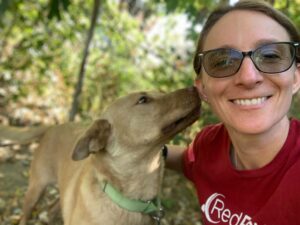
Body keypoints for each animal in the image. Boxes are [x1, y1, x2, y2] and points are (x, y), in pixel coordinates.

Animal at [1, 87, 202, 225]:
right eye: (143, 99)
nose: (194, 87)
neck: (130, 203)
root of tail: (53, 127)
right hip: (36, 189)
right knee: (25, 216)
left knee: (51, 209)